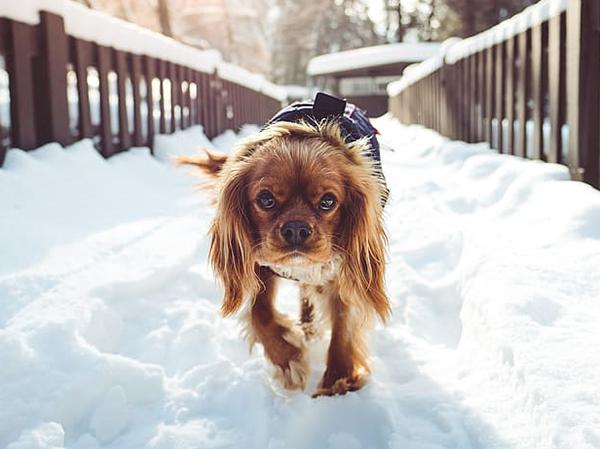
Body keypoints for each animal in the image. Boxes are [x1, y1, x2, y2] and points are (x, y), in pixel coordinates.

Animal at [180, 93, 392, 394]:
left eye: (328, 201)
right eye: (266, 199)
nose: (295, 229)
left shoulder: (343, 269)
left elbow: (343, 325)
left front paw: (338, 378)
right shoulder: (261, 266)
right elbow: (260, 314)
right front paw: (288, 360)